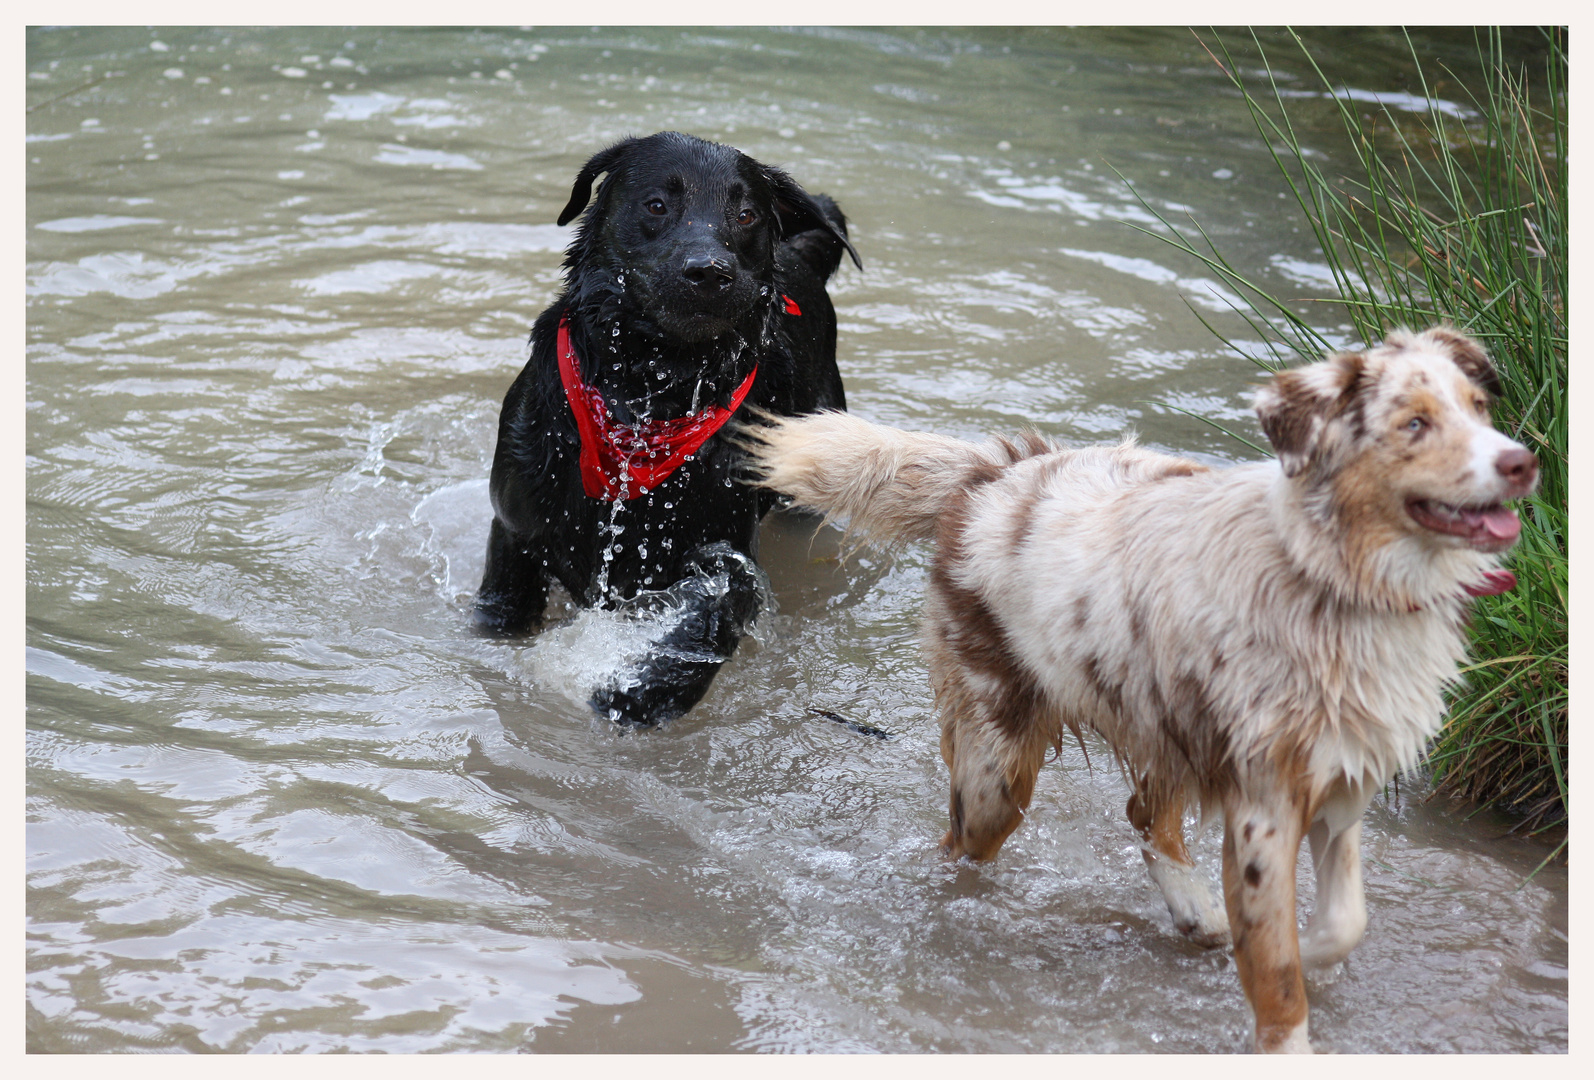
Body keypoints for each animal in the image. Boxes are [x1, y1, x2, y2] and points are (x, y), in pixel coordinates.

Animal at [471, 133, 860, 726]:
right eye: (656, 204)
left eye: (746, 214)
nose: (711, 271)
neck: (648, 397)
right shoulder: (515, 530)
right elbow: (504, 612)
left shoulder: (720, 533)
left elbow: (729, 592)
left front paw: (653, 689)